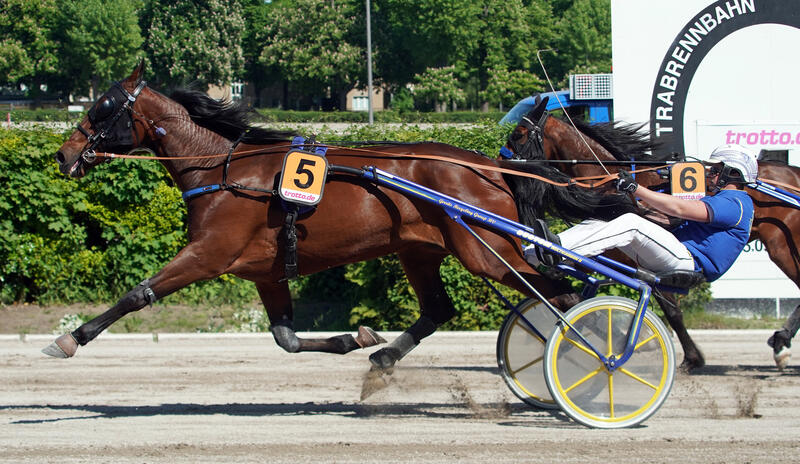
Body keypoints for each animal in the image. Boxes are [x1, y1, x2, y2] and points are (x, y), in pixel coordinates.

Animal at [45, 65, 636, 370]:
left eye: (101, 106)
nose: (63, 154)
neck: (223, 168)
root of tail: (493, 167)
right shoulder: (265, 271)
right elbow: (286, 337)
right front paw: (357, 338)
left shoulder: (209, 253)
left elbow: (137, 294)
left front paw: (70, 338)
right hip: (420, 248)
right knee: (441, 307)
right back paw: (386, 356)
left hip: (485, 250)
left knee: (560, 291)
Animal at [506, 96, 800, 372]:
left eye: (518, 133)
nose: (507, 169)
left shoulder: (648, 260)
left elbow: (670, 308)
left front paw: (691, 358)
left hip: (783, 248)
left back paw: (781, 344)